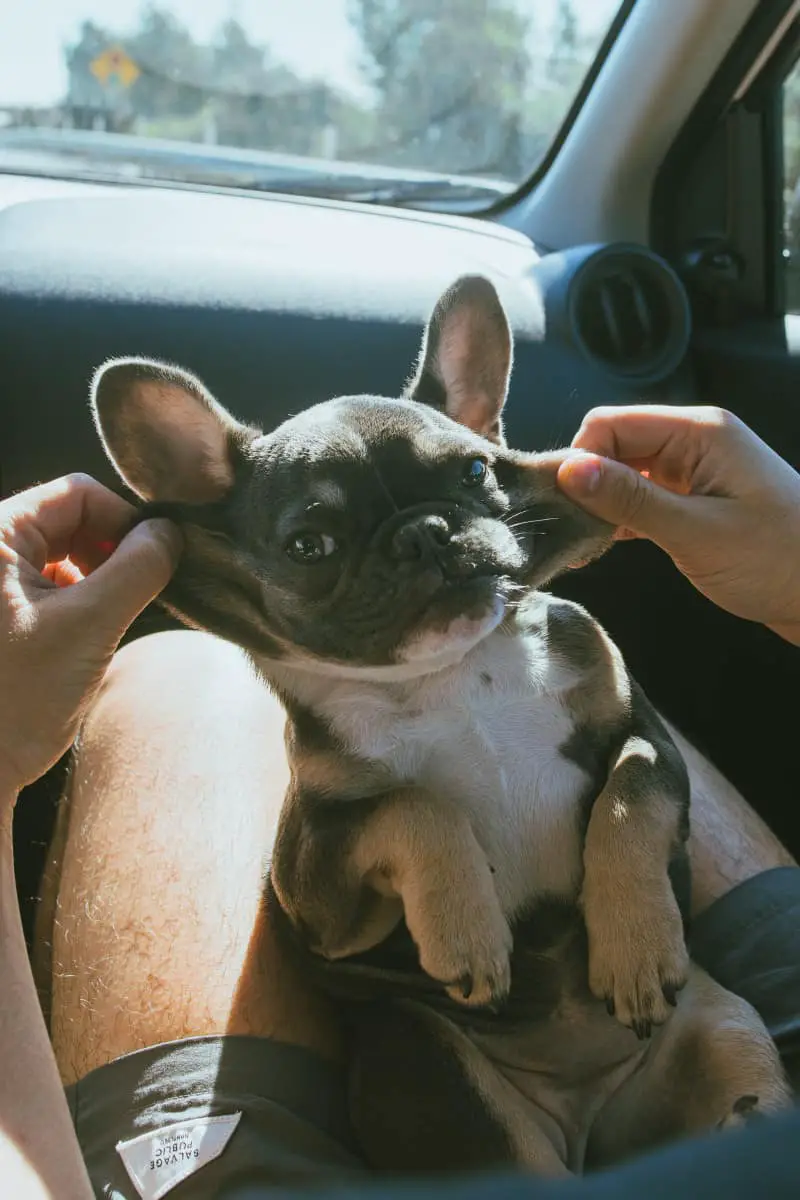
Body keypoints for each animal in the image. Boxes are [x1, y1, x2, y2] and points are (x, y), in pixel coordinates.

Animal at [90, 276, 791, 1176]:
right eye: (310, 544)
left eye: (475, 470)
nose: (424, 533)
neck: (454, 673)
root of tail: (590, 1125)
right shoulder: (319, 886)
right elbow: (414, 805)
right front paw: (467, 927)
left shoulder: (643, 734)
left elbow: (629, 796)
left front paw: (634, 942)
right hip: (435, 1066)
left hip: (727, 1026)